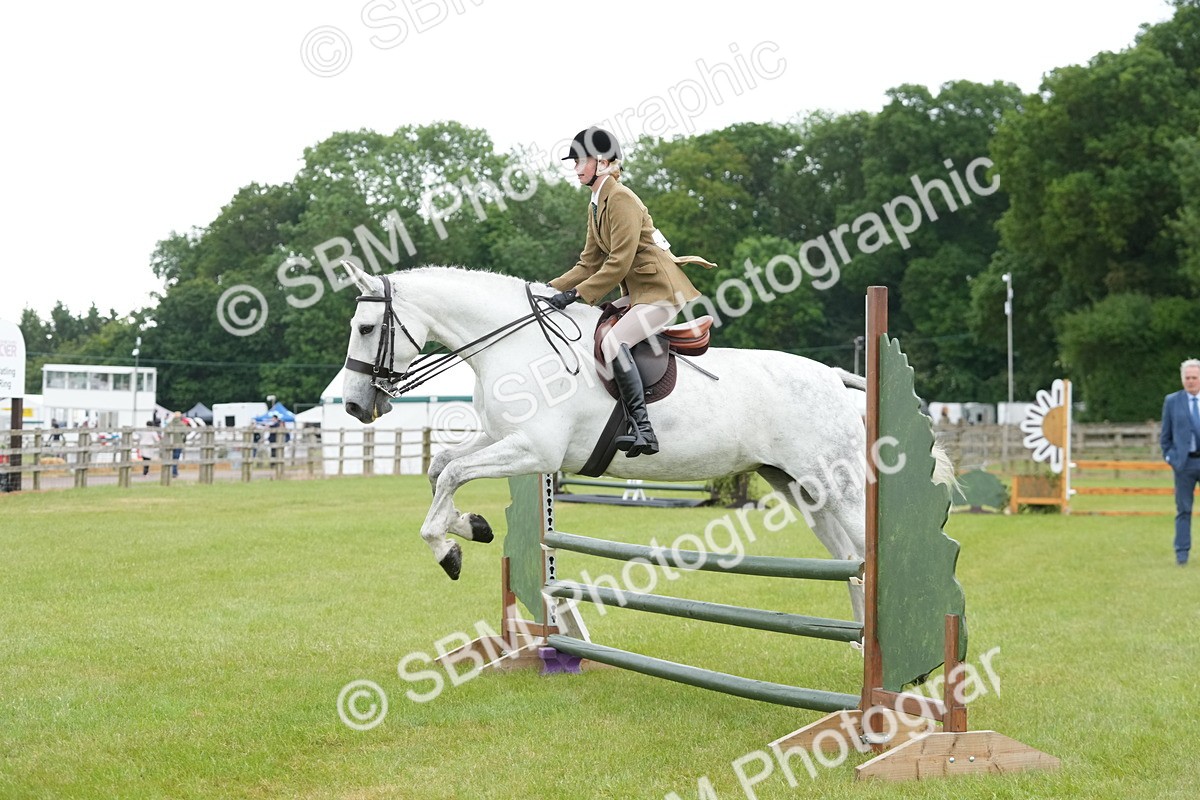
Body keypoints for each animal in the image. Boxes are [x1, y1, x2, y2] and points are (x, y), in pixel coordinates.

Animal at [339, 263, 953, 623]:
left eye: (366, 329)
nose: (354, 406)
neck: (517, 347)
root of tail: (838, 378)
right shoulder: (500, 437)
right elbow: (442, 465)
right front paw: (471, 528)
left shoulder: (532, 450)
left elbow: (448, 473)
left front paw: (448, 549)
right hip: (800, 487)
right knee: (851, 560)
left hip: (836, 484)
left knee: (869, 552)